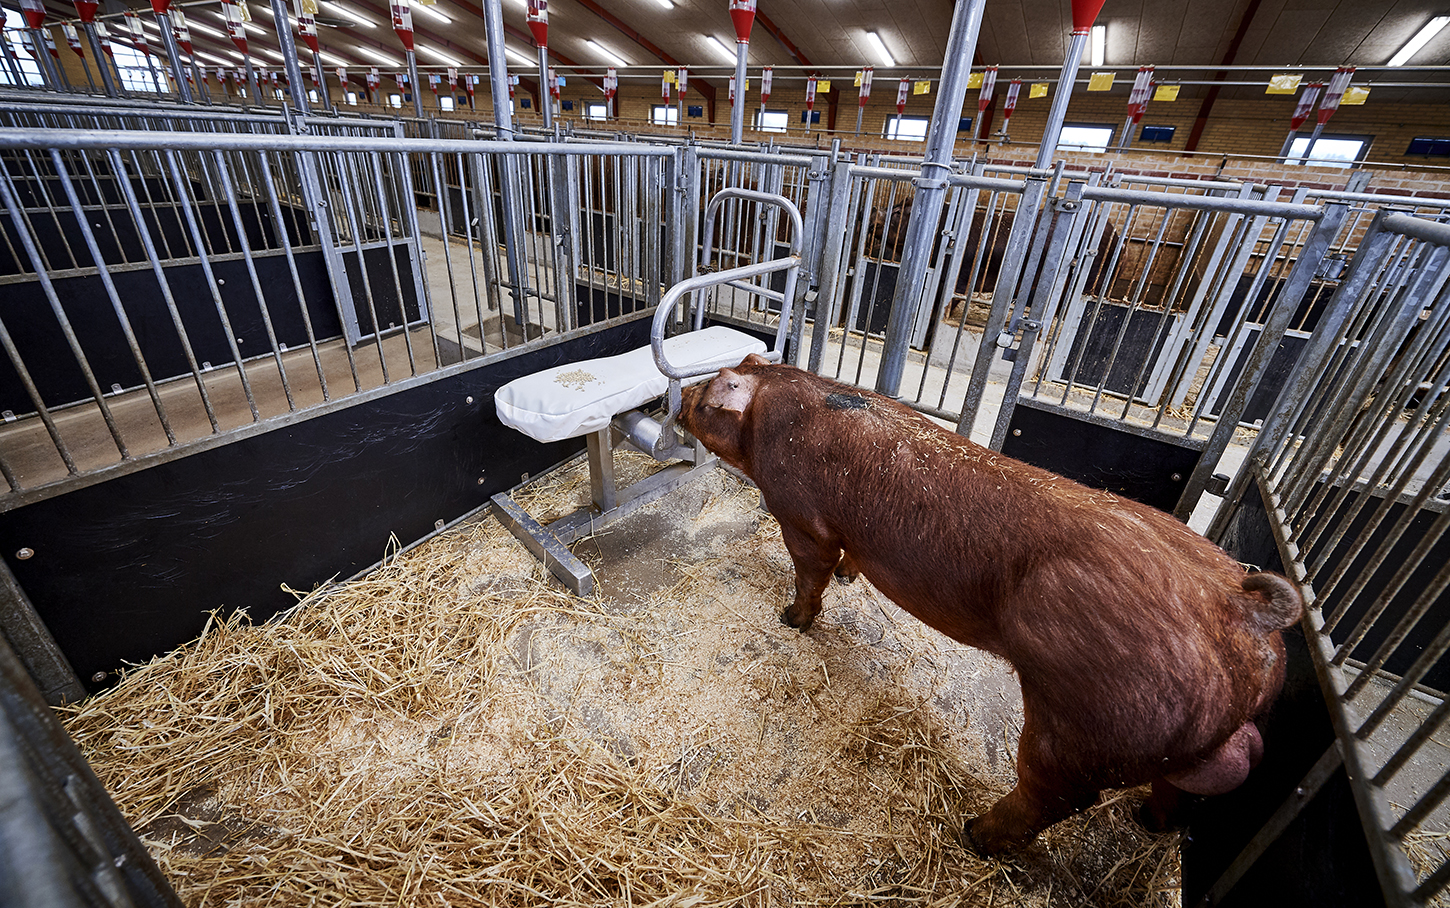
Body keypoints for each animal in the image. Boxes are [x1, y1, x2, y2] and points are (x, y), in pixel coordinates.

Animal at [678, 354, 1302, 855]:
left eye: (708, 394)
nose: (679, 398)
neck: (775, 409)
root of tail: (1242, 609)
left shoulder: (801, 514)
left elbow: (811, 571)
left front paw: (791, 621)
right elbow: (850, 560)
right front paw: (852, 579)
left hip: (1086, 722)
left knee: (1052, 796)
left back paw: (974, 835)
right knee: (1188, 784)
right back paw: (1145, 821)